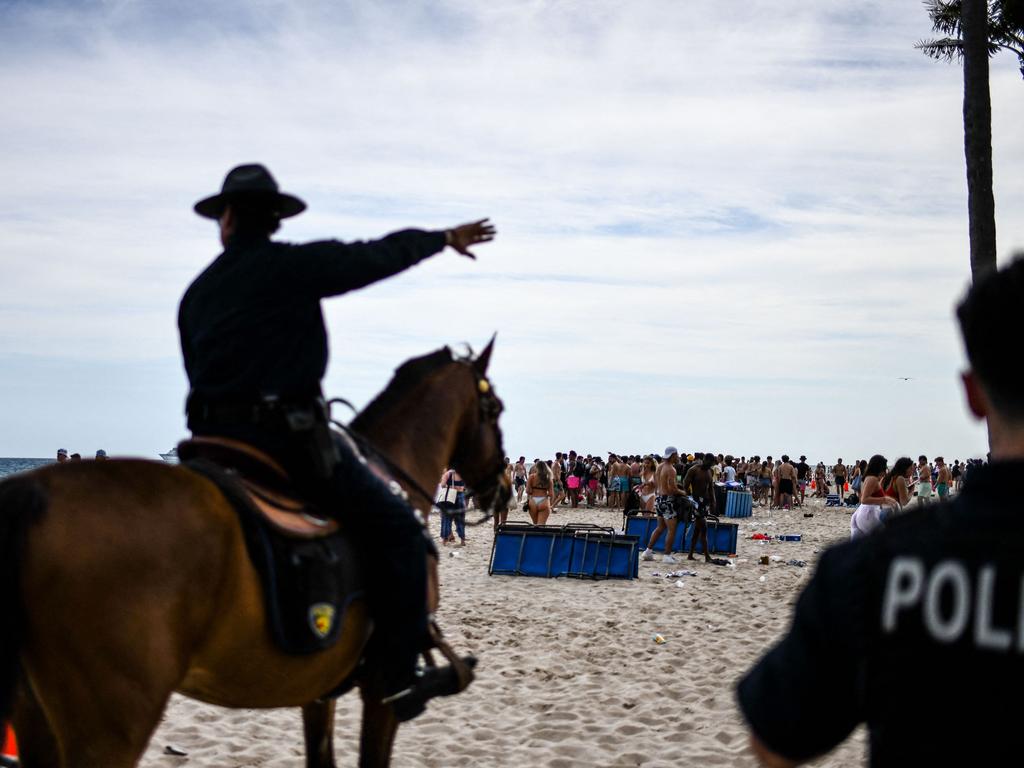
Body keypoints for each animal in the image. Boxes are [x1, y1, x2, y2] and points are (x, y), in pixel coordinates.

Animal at [0, 344, 509, 768]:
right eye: (496, 411)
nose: (503, 487)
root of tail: (31, 492)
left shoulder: (319, 689)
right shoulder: (382, 688)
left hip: (40, 719)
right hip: (112, 725)